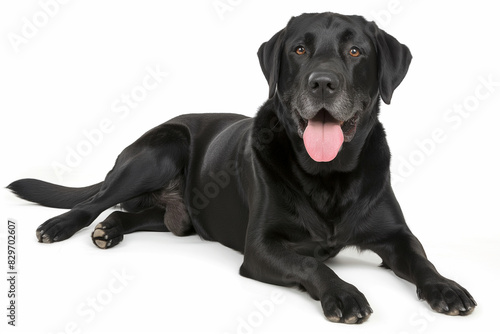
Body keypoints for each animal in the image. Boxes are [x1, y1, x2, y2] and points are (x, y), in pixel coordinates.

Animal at [9, 11, 474, 322]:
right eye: (299, 49)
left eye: (355, 51)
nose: (323, 82)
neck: (329, 176)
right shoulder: (261, 247)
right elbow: (312, 263)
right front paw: (343, 294)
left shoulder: (396, 235)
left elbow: (421, 259)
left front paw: (446, 288)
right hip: (159, 151)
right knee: (96, 200)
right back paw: (60, 226)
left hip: (180, 218)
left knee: (133, 213)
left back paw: (111, 230)